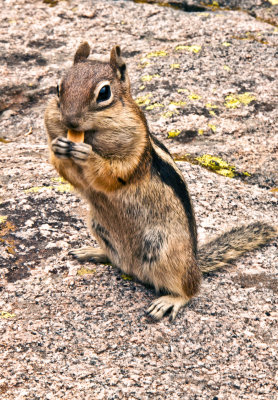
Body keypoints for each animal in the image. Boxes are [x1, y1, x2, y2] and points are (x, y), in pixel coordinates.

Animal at [44, 42, 276, 320]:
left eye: (104, 93)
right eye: (59, 88)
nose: (70, 121)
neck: (91, 137)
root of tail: (195, 261)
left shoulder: (134, 157)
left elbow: (111, 172)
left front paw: (86, 155)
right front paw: (59, 147)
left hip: (168, 255)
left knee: (191, 289)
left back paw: (169, 301)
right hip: (98, 227)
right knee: (117, 259)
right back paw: (93, 252)